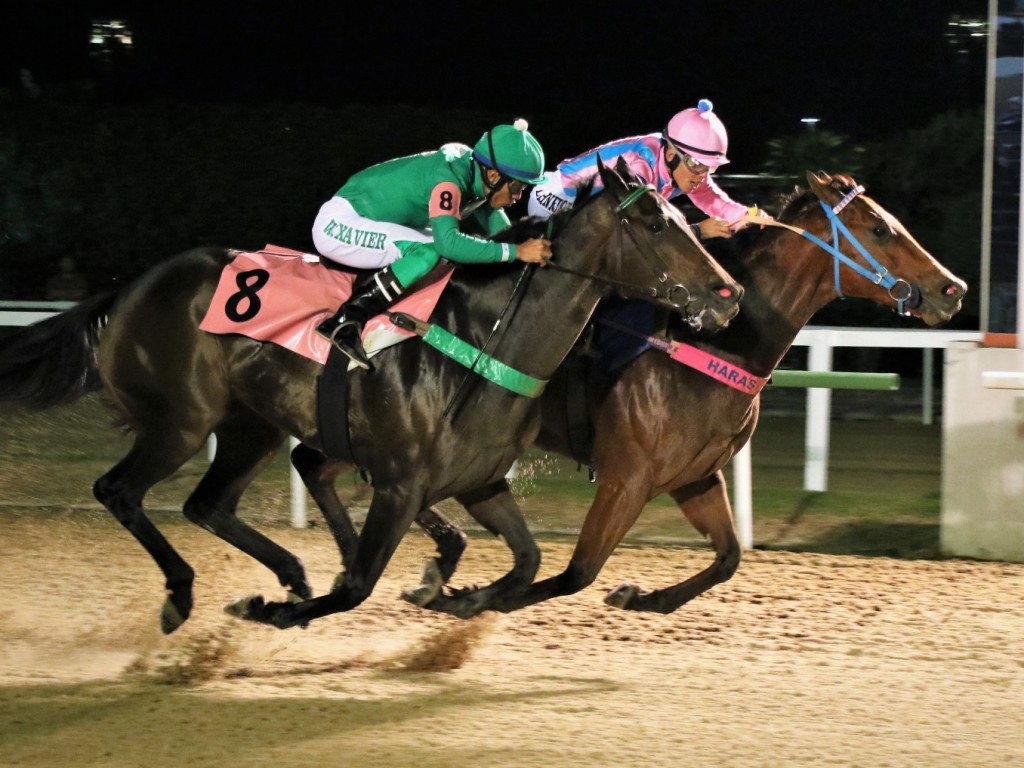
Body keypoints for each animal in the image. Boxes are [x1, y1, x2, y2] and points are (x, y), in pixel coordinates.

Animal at [0, 159, 741, 634]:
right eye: (655, 223)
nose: (726, 294)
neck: (486, 339)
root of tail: (130, 287)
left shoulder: (480, 482)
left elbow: (527, 562)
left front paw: (454, 596)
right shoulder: (399, 485)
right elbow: (358, 585)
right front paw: (276, 610)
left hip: (250, 425)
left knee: (206, 503)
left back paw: (291, 572)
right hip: (181, 420)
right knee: (120, 491)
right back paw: (186, 594)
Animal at [305, 169, 966, 618]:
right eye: (879, 228)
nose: (952, 289)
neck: (717, 344)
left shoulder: (696, 476)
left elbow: (728, 559)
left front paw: (638, 597)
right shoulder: (627, 478)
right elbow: (577, 572)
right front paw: (465, 598)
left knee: (340, 465)